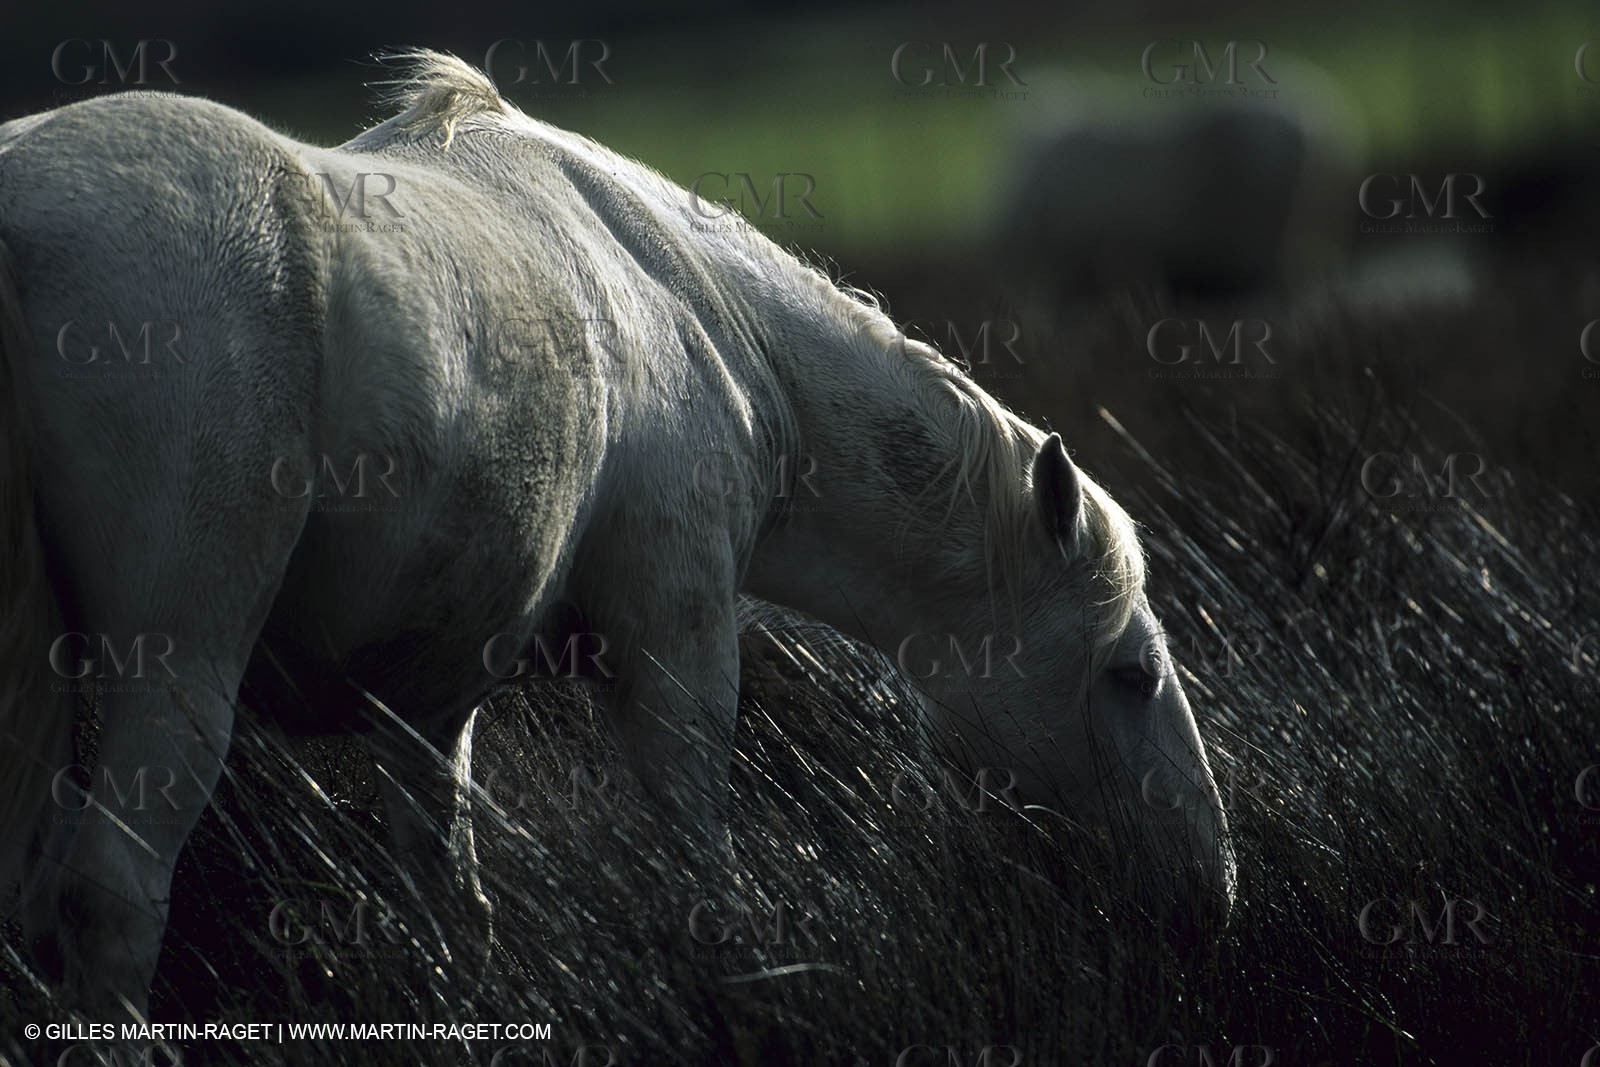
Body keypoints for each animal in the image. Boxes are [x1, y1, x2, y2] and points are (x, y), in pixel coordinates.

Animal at [0, 50, 1234, 1019]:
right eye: (1131, 673)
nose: (1211, 895)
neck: (692, 313)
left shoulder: (429, 696)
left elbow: (448, 896)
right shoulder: (674, 640)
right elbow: (701, 869)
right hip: (176, 663)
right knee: (108, 894)